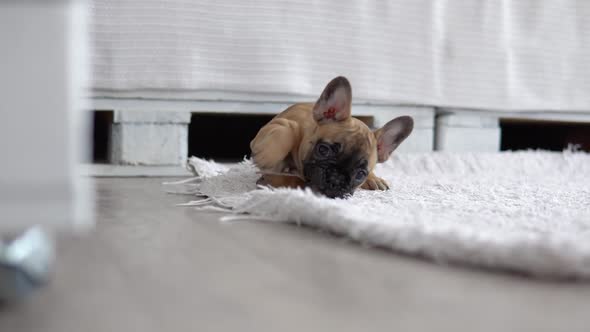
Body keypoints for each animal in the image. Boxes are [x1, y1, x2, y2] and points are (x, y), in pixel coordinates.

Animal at [252, 76, 414, 198]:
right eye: (323, 150)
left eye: (361, 174)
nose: (336, 179)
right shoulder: (275, 126)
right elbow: (288, 131)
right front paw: (267, 156)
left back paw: (375, 179)